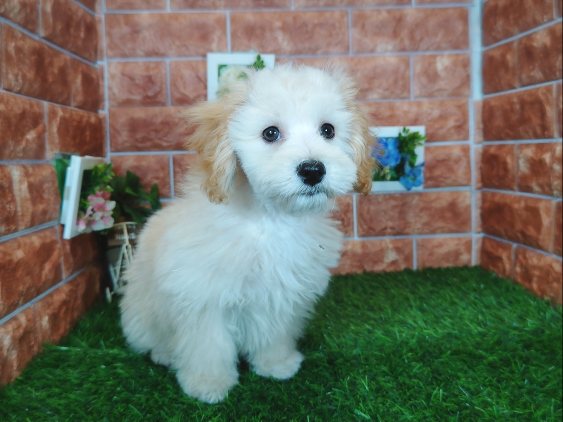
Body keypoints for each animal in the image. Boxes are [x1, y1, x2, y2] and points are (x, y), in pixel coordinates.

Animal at [120, 64, 374, 403]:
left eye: (328, 130)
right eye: (270, 133)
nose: (312, 170)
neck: (268, 218)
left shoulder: (281, 292)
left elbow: (274, 331)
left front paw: (276, 364)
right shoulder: (205, 297)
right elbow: (208, 345)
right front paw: (208, 384)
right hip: (142, 313)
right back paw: (164, 354)